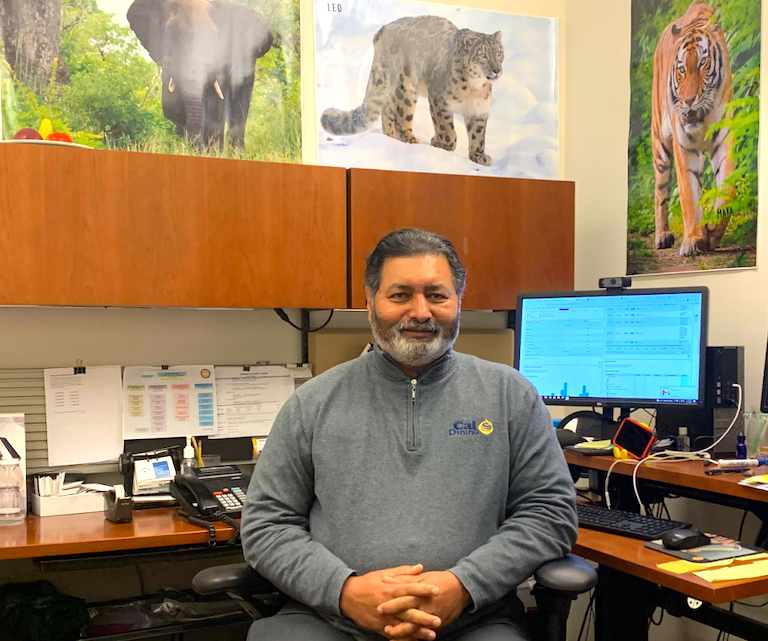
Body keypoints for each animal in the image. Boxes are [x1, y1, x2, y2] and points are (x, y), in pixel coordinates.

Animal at [652, 3, 736, 258]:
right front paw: (693, 240)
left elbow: (728, 190)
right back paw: (662, 236)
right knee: (660, 192)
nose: (688, 101)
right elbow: (688, 196)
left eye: (702, 64)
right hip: (660, 145)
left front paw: (712, 232)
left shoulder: (724, 139)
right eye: (681, 69)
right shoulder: (684, 146)